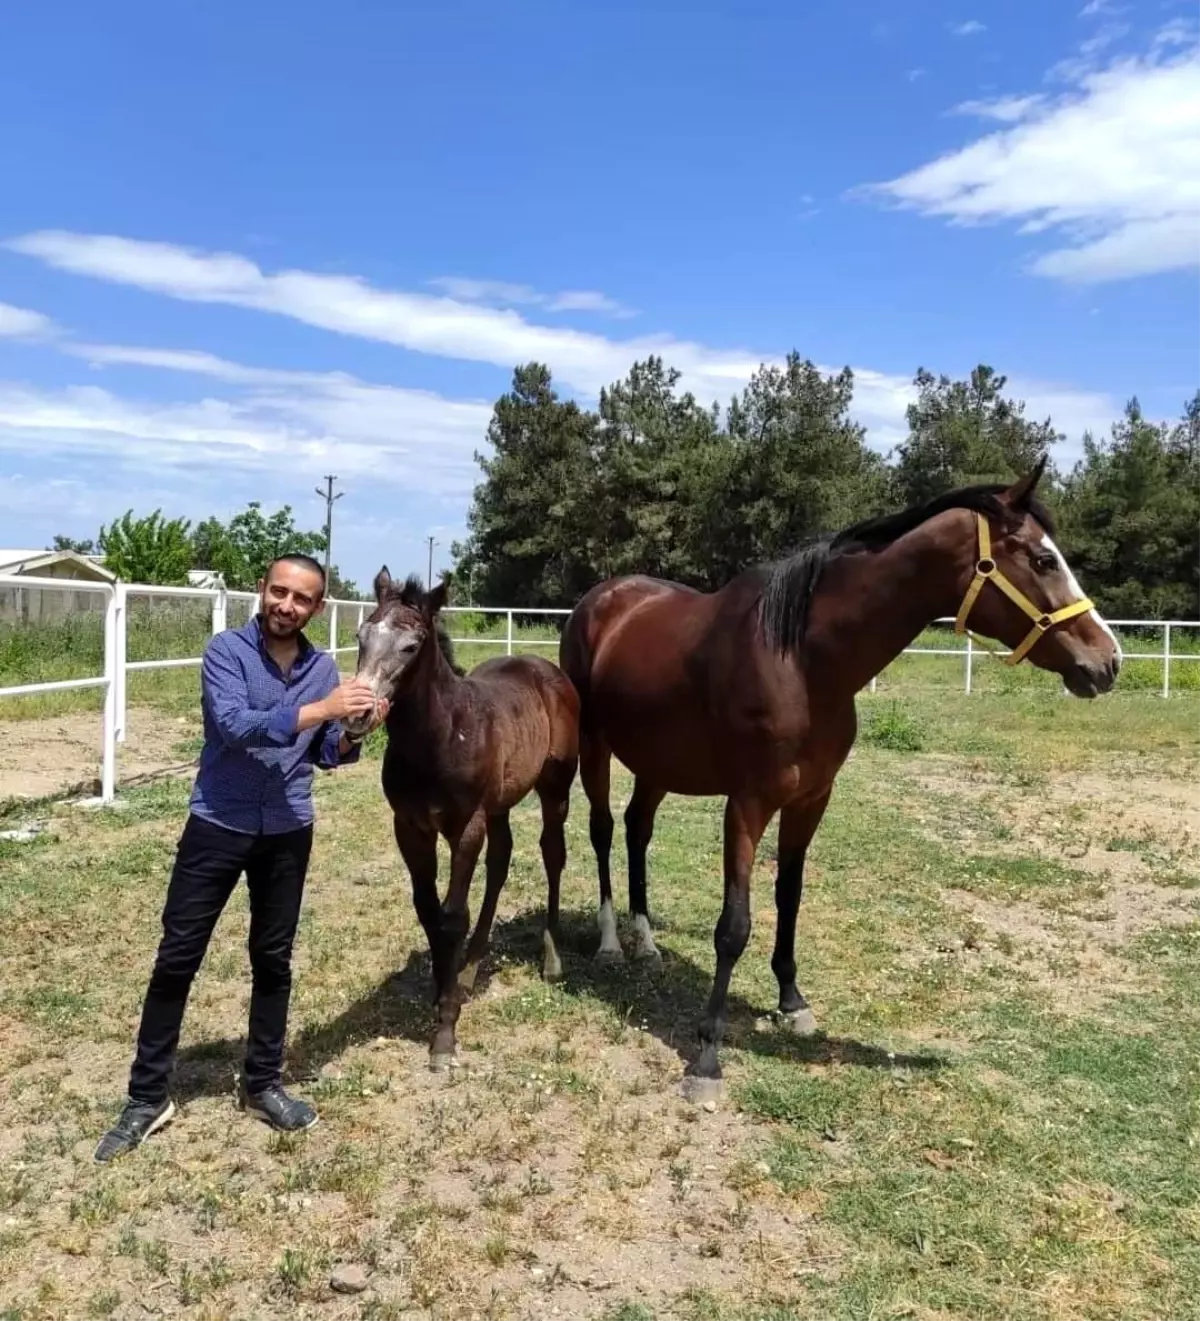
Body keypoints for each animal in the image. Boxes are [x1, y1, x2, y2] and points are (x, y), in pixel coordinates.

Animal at [340, 573, 581, 1067]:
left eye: (411, 646)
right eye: (360, 636)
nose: (356, 715)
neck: (441, 737)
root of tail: (546, 670)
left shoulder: (465, 827)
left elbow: (452, 916)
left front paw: (445, 1031)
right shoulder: (410, 827)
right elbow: (428, 910)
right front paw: (441, 991)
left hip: (555, 788)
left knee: (552, 854)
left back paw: (551, 959)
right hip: (500, 804)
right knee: (501, 861)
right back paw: (470, 969)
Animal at [562, 464, 1125, 1104]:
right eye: (1042, 559)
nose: (1107, 661)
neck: (802, 661)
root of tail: (602, 599)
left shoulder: (811, 800)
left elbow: (789, 898)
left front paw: (792, 1002)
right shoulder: (747, 804)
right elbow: (734, 927)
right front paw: (706, 1056)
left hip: (658, 762)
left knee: (638, 830)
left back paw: (647, 942)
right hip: (596, 749)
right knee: (604, 830)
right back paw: (611, 945)